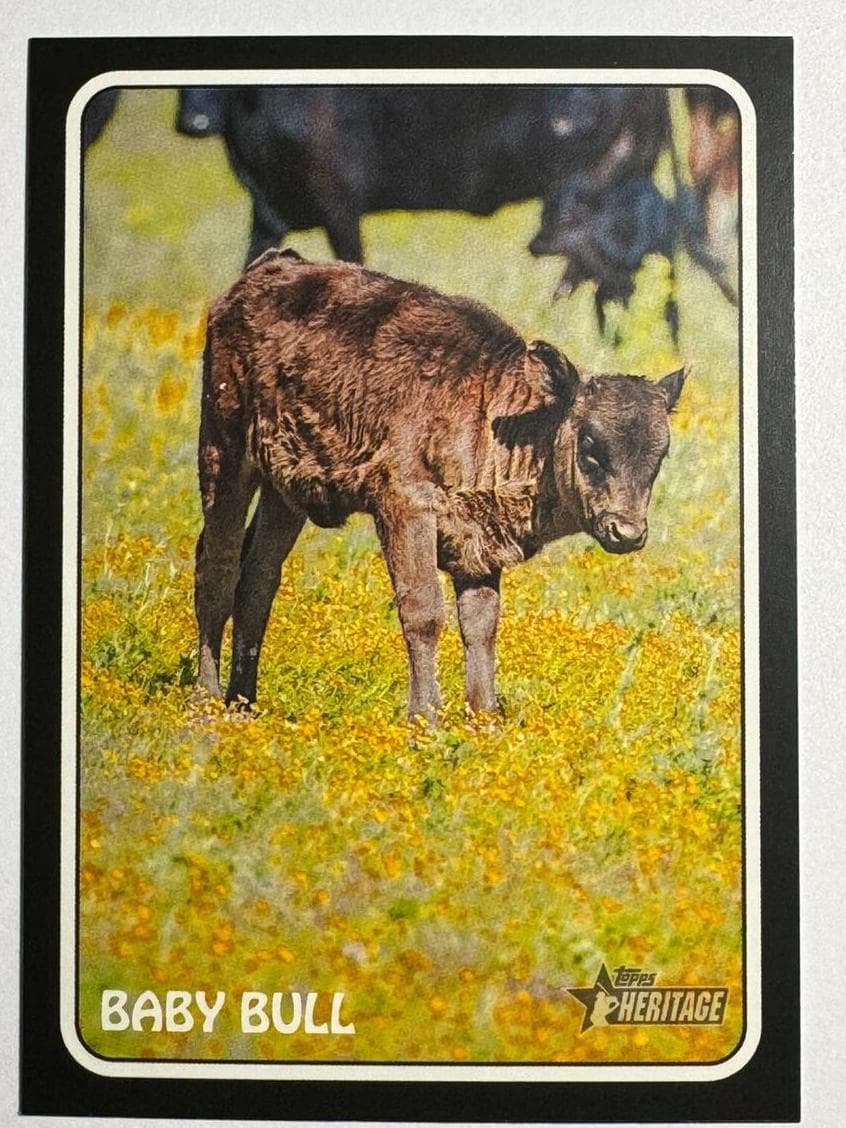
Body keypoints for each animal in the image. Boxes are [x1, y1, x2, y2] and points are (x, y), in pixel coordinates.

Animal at [194, 250, 685, 721]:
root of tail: (267, 270)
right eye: (589, 445)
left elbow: (481, 624)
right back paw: (207, 700)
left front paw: (485, 715)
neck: (496, 416)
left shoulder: (478, 543)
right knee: (217, 568)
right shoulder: (406, 508)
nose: (627, 532)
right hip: (224, 454)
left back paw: (244, 702)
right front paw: (426, 715)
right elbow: (424, 610)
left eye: (660, 455)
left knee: (259, 579)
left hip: (284, 495)